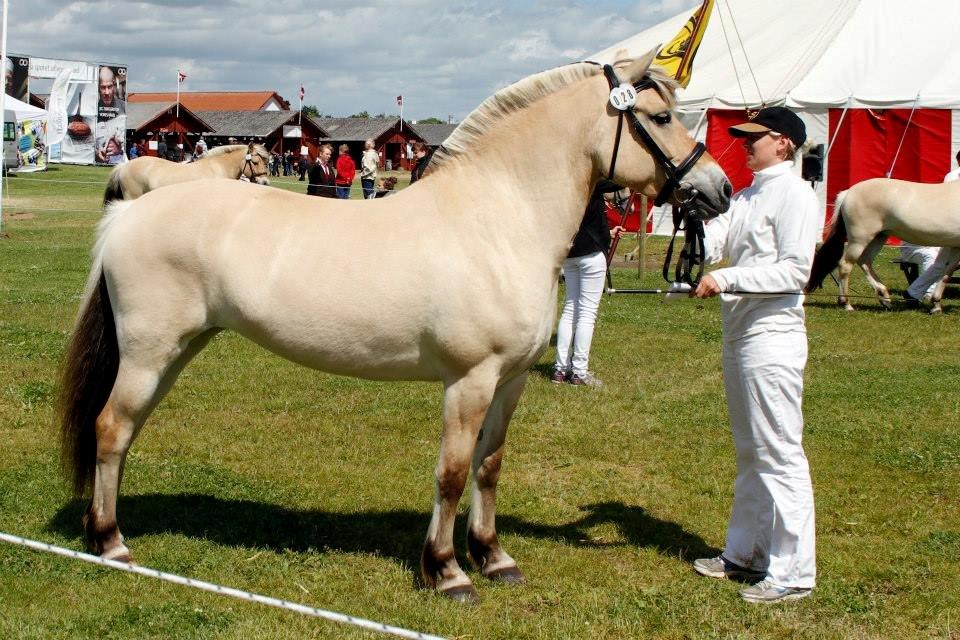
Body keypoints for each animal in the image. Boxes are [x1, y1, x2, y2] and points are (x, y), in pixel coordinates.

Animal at [808, 179, 960, 312]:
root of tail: (848, 193)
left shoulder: (955, 246)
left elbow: (947, 272)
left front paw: (936, 305)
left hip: (878, 238)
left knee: (865, 261)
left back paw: (884, 298)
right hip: (859, 240)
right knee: (846, 265)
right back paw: (846, 304)